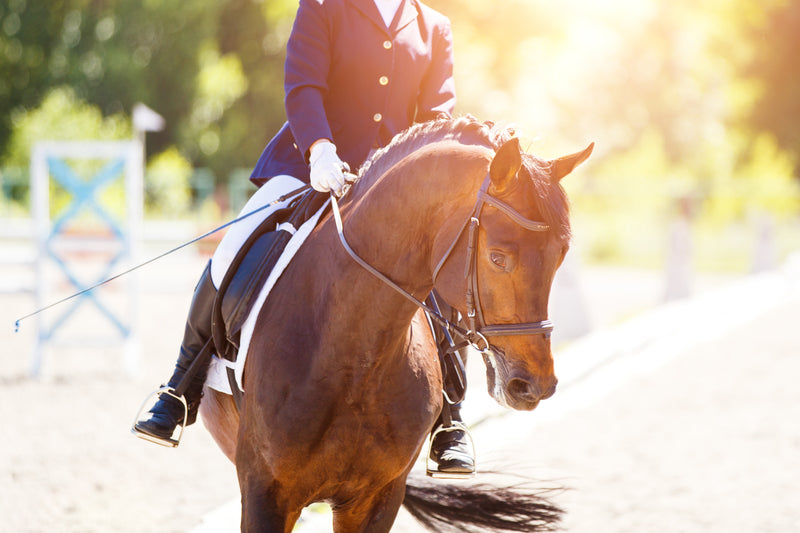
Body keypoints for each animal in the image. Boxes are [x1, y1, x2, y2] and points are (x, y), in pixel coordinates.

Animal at [197, 117, 592, 532]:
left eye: (560, 256)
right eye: (498, 257)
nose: (535, 385)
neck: (354, 355)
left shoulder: (377, 497)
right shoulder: (265, 492)